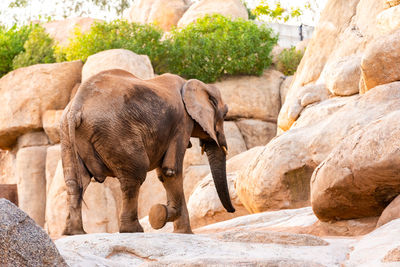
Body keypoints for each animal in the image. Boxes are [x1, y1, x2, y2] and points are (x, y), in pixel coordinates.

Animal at [61, 68, 236, 234]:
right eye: (225, 113)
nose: (232, 210)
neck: (190, 83)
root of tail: (76, 107)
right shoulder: (182, 123)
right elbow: (170, 171)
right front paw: (175, 225)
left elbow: (164, 173)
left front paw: (171, 222)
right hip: (115, 132)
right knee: (135, 175)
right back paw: (132, 230)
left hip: (68, 137)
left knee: (75, 181)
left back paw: (74, 233)